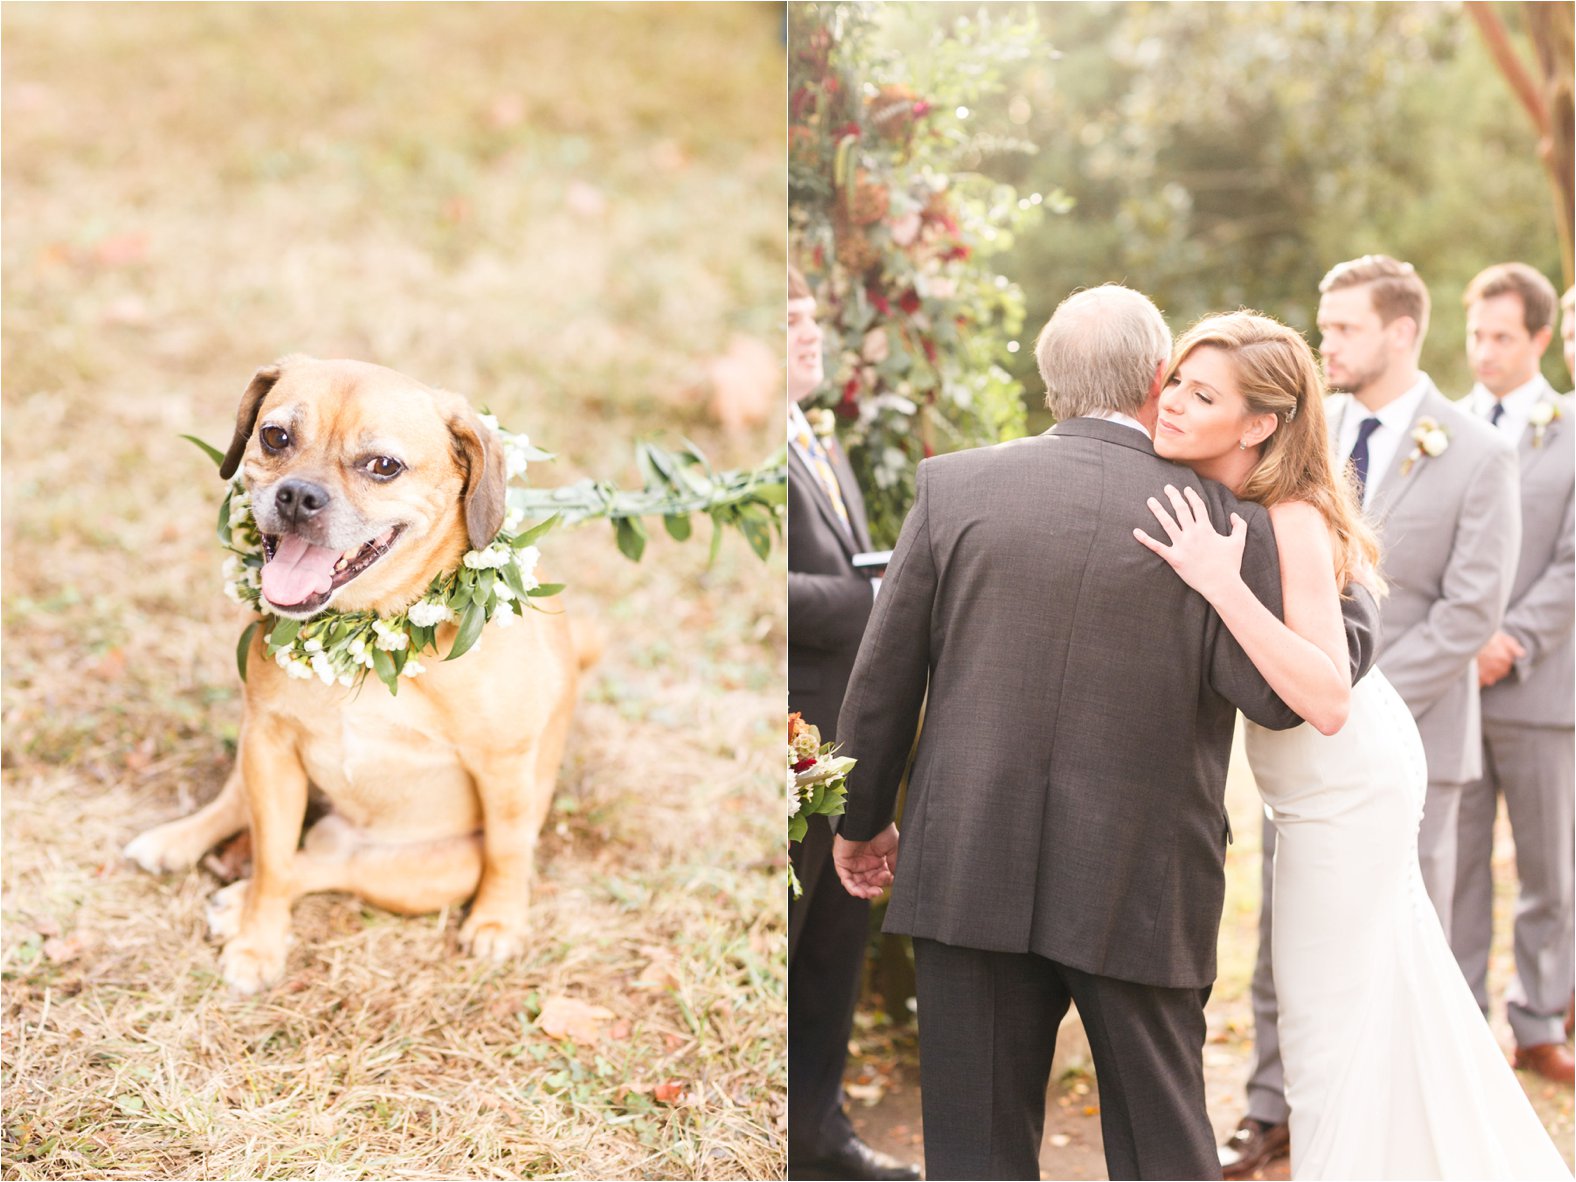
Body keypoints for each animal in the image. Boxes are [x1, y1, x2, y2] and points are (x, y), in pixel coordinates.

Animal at [126, 356, 586, 996]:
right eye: (275, 436)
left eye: (383, 466)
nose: (298, 496)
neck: (367, 628)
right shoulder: (270, 745)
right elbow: (272, 860)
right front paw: (259, 943)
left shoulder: (505, 767)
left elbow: (509, 852)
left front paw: (499, 921)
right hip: (257, 755)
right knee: (251, 820)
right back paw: (177, 844)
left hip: (424, 872)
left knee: (326, 867)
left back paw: (233, 899)